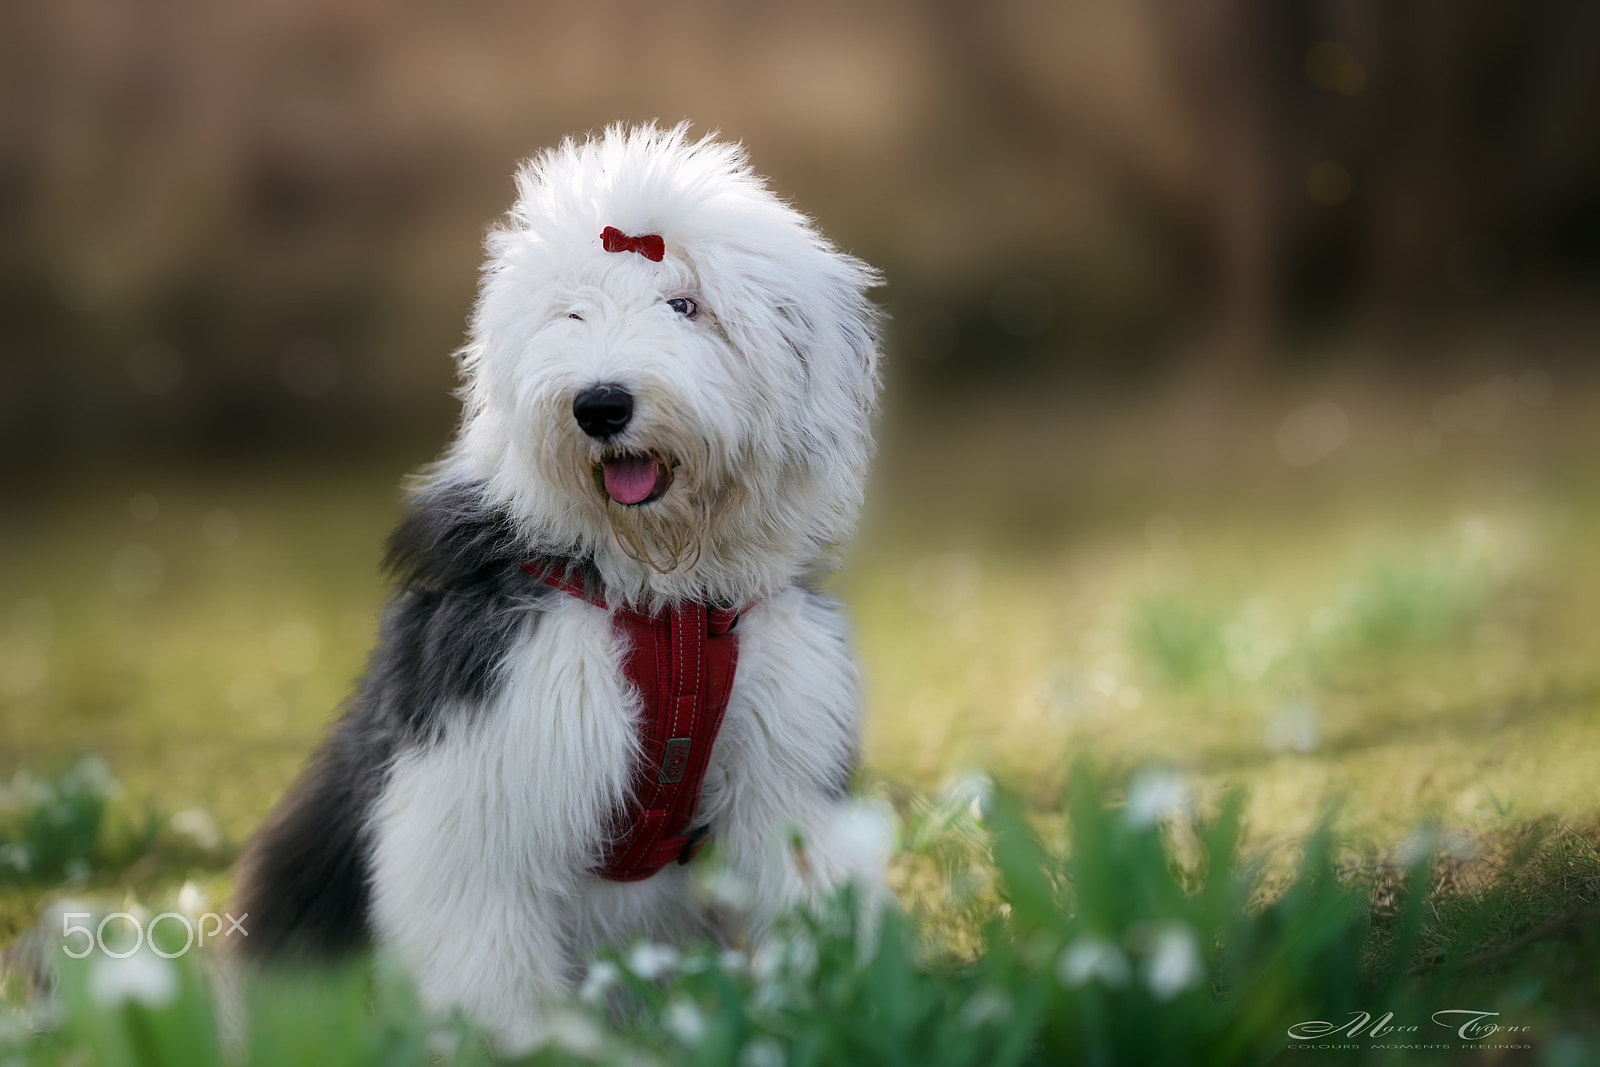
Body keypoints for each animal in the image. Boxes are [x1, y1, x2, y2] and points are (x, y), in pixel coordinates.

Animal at [233, 123, 896, 1043]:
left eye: (685, 306)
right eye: (571, 312)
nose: (601, 405)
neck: (660, 596)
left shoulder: (783, 758)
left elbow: (802, 882)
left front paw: (837, 1003)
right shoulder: (491, 753)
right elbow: (487, 937)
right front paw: (529, 1041)